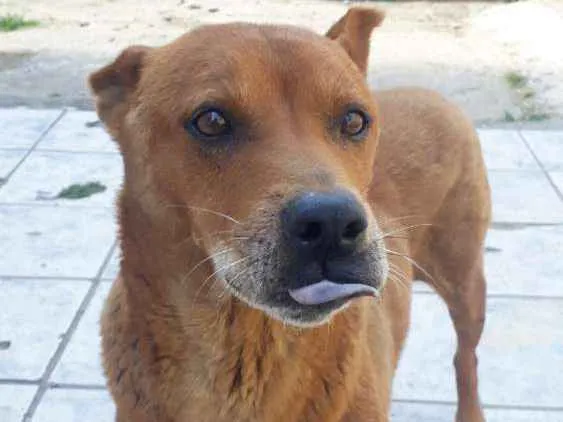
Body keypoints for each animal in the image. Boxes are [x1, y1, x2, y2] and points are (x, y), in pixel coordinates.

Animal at [90, 7, 492, 422]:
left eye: (354, 120)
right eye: (211, 121)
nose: (332, 222)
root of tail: (429, 92)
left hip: (466, 286)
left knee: (466, 357)